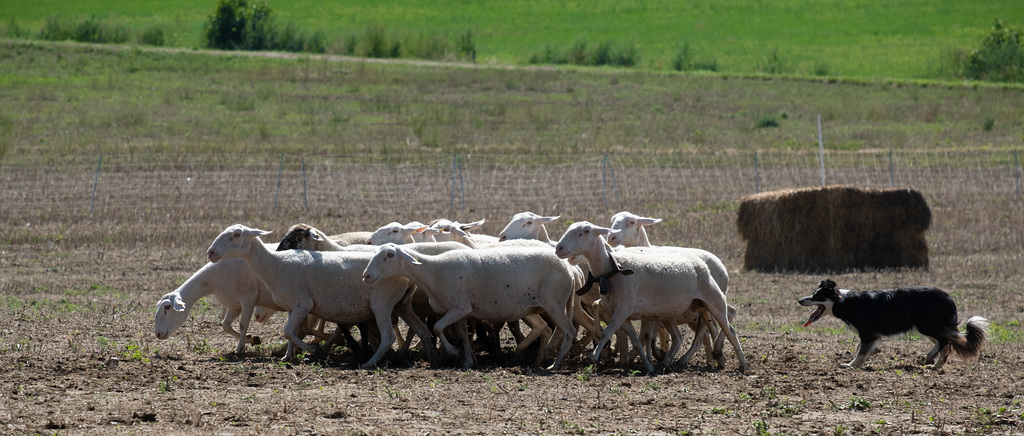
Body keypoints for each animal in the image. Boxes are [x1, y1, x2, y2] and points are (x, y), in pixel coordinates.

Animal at [205, 225, 434, 368]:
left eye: (236, 235)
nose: (210, 252)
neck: (275, 265)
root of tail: (406, 276)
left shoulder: (303, 305)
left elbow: (288, 331)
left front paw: (313, 350)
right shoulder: (292, 307)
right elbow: (291, 332)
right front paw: (288, 356)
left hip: (382, 305)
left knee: (388, 336)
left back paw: (369, 363)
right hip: (402, 305)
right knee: (422, 330)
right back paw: (431, 357)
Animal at [364, 243, 581, 370]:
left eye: (390, 255)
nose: (366, 275)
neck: (433, 271)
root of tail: (569, 270)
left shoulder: (460, 307)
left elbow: (438, 328)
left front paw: (454, 352)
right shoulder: (462, 311)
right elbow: (463, 336)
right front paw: (467, 360)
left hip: (554, 303)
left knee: (569, 331)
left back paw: (556, 365)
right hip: (545, 306)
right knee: (555, 331)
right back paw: (546, 359)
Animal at [557, 221, 749, 370]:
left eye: (585, 231)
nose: (559, 248)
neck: (613, 269)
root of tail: (701, 263)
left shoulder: (623, 309)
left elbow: (608, 332)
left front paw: (594, 357)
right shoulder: (620, 313)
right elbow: (635, 338)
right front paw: (647, 365)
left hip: (714, 301)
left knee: (731, 331)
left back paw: (742, 364)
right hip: (672, 312)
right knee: (678, 337)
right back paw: (667, 362)